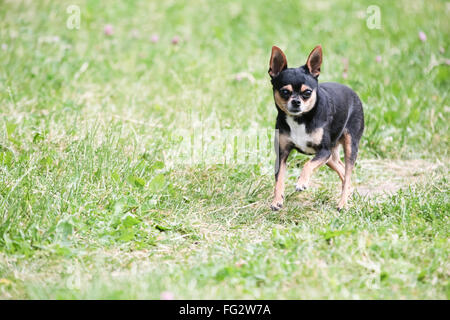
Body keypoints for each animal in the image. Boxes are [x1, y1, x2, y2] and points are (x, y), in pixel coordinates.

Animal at [268, 44, 364, 210]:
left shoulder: (323, 151)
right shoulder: (282, 153)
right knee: (342, 171)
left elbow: (307, 165)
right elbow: (279, 178)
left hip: (349, 146)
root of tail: (353, 93)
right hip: (330, 155)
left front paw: (301, 182)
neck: (300, 119)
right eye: (285, 92)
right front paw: (277, 200)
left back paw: (343, 203)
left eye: (307, 92)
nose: (296, 102)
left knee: (348, 173)